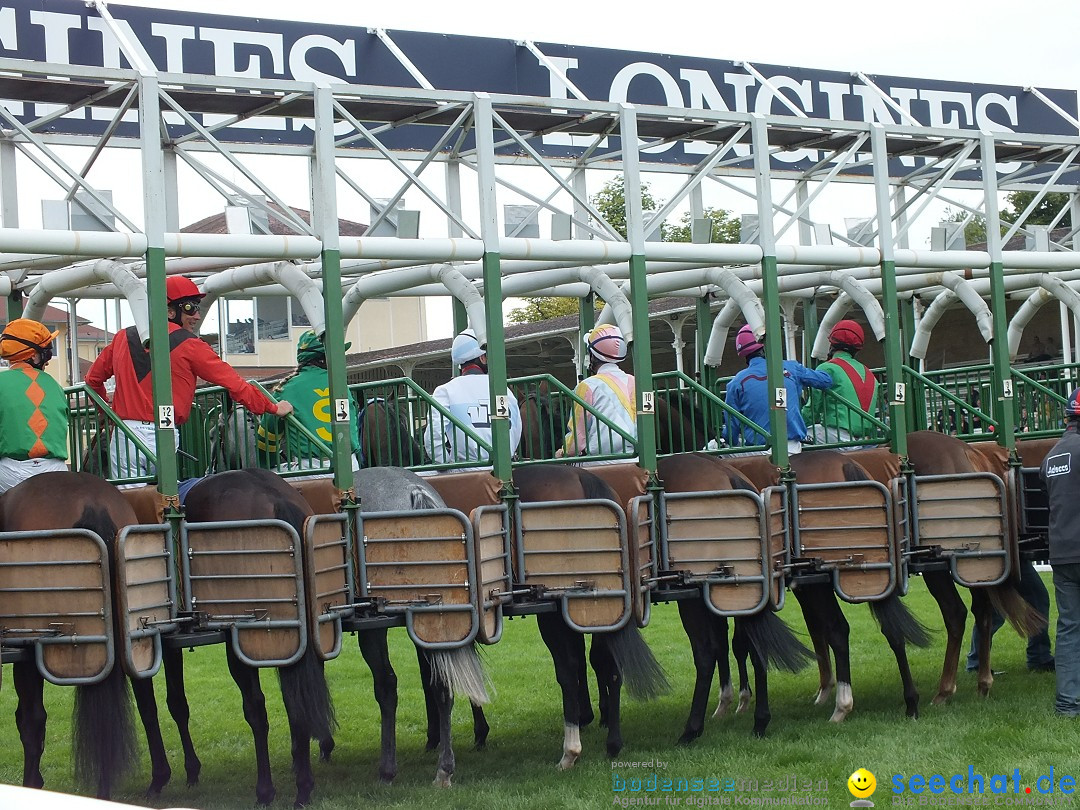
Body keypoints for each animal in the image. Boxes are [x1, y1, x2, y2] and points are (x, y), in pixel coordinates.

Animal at [505, 466, 665, 768]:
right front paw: (593, 715)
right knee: (608, 663)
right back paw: (613, 743)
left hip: (557, 612)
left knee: (568, 668)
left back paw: (570, 752)